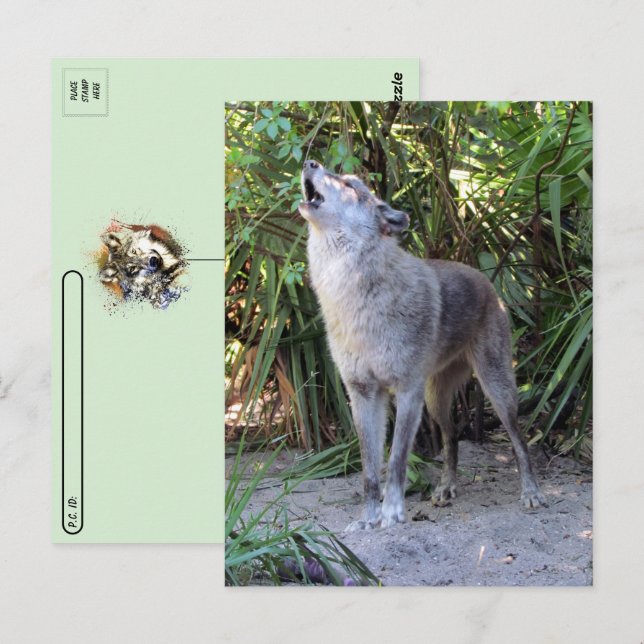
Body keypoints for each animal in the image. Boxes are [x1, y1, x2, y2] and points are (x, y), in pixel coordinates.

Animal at [298, 160, 545, 531]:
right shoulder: (363, 393)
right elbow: (369, 470)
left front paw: (392, 514)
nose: (309, 162)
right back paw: (445, 489)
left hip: (497, 391)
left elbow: (396, 461)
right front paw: (367, 520)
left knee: (519, 439)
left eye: (350, 185)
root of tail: (484, 278)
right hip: (436, 400)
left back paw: (530, 492)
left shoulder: (406, 391)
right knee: (451, 437)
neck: (354, 296)